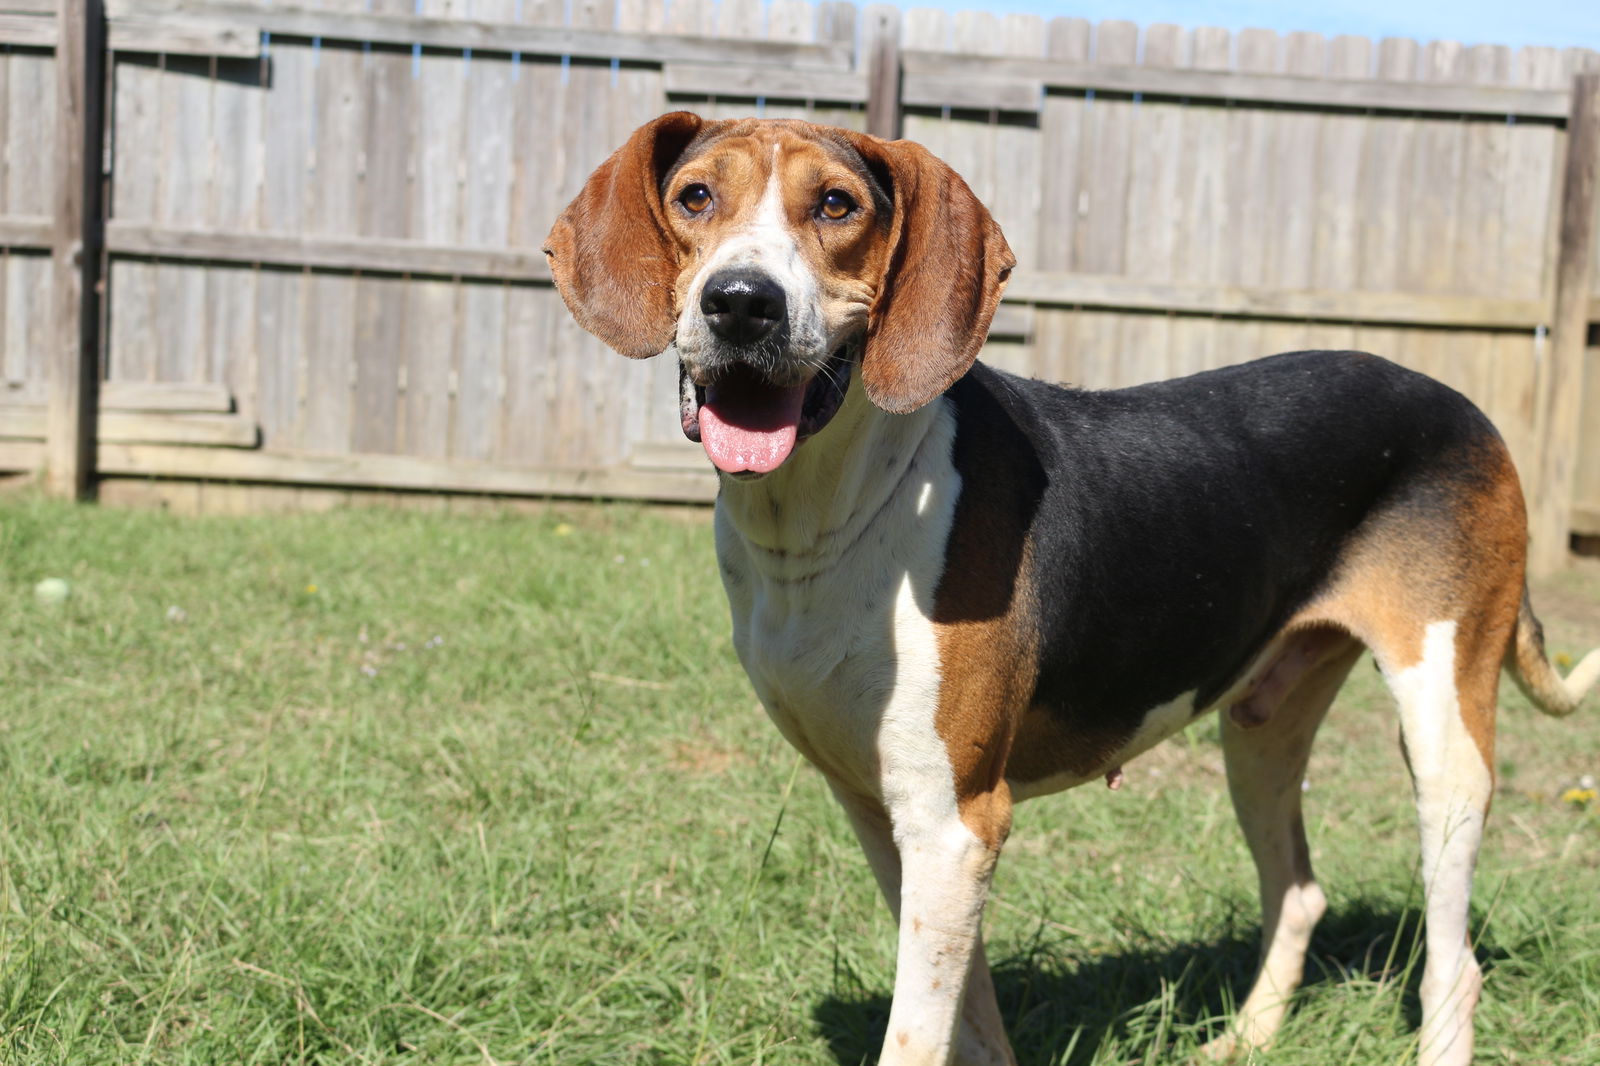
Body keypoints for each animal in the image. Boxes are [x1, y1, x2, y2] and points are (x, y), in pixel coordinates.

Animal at [540, 112, 1600, 1056]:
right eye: (694, 197)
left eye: (836, 205)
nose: (741, 301)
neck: (826, 519)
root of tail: (1465, 405)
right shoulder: (888, 817)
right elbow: (968, 1021)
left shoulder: (954, 824)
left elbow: (915, 1036)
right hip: (1258, 729)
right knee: (1299, 891)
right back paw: (1244, 1041)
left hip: (1443, 729)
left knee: (1454, 963)